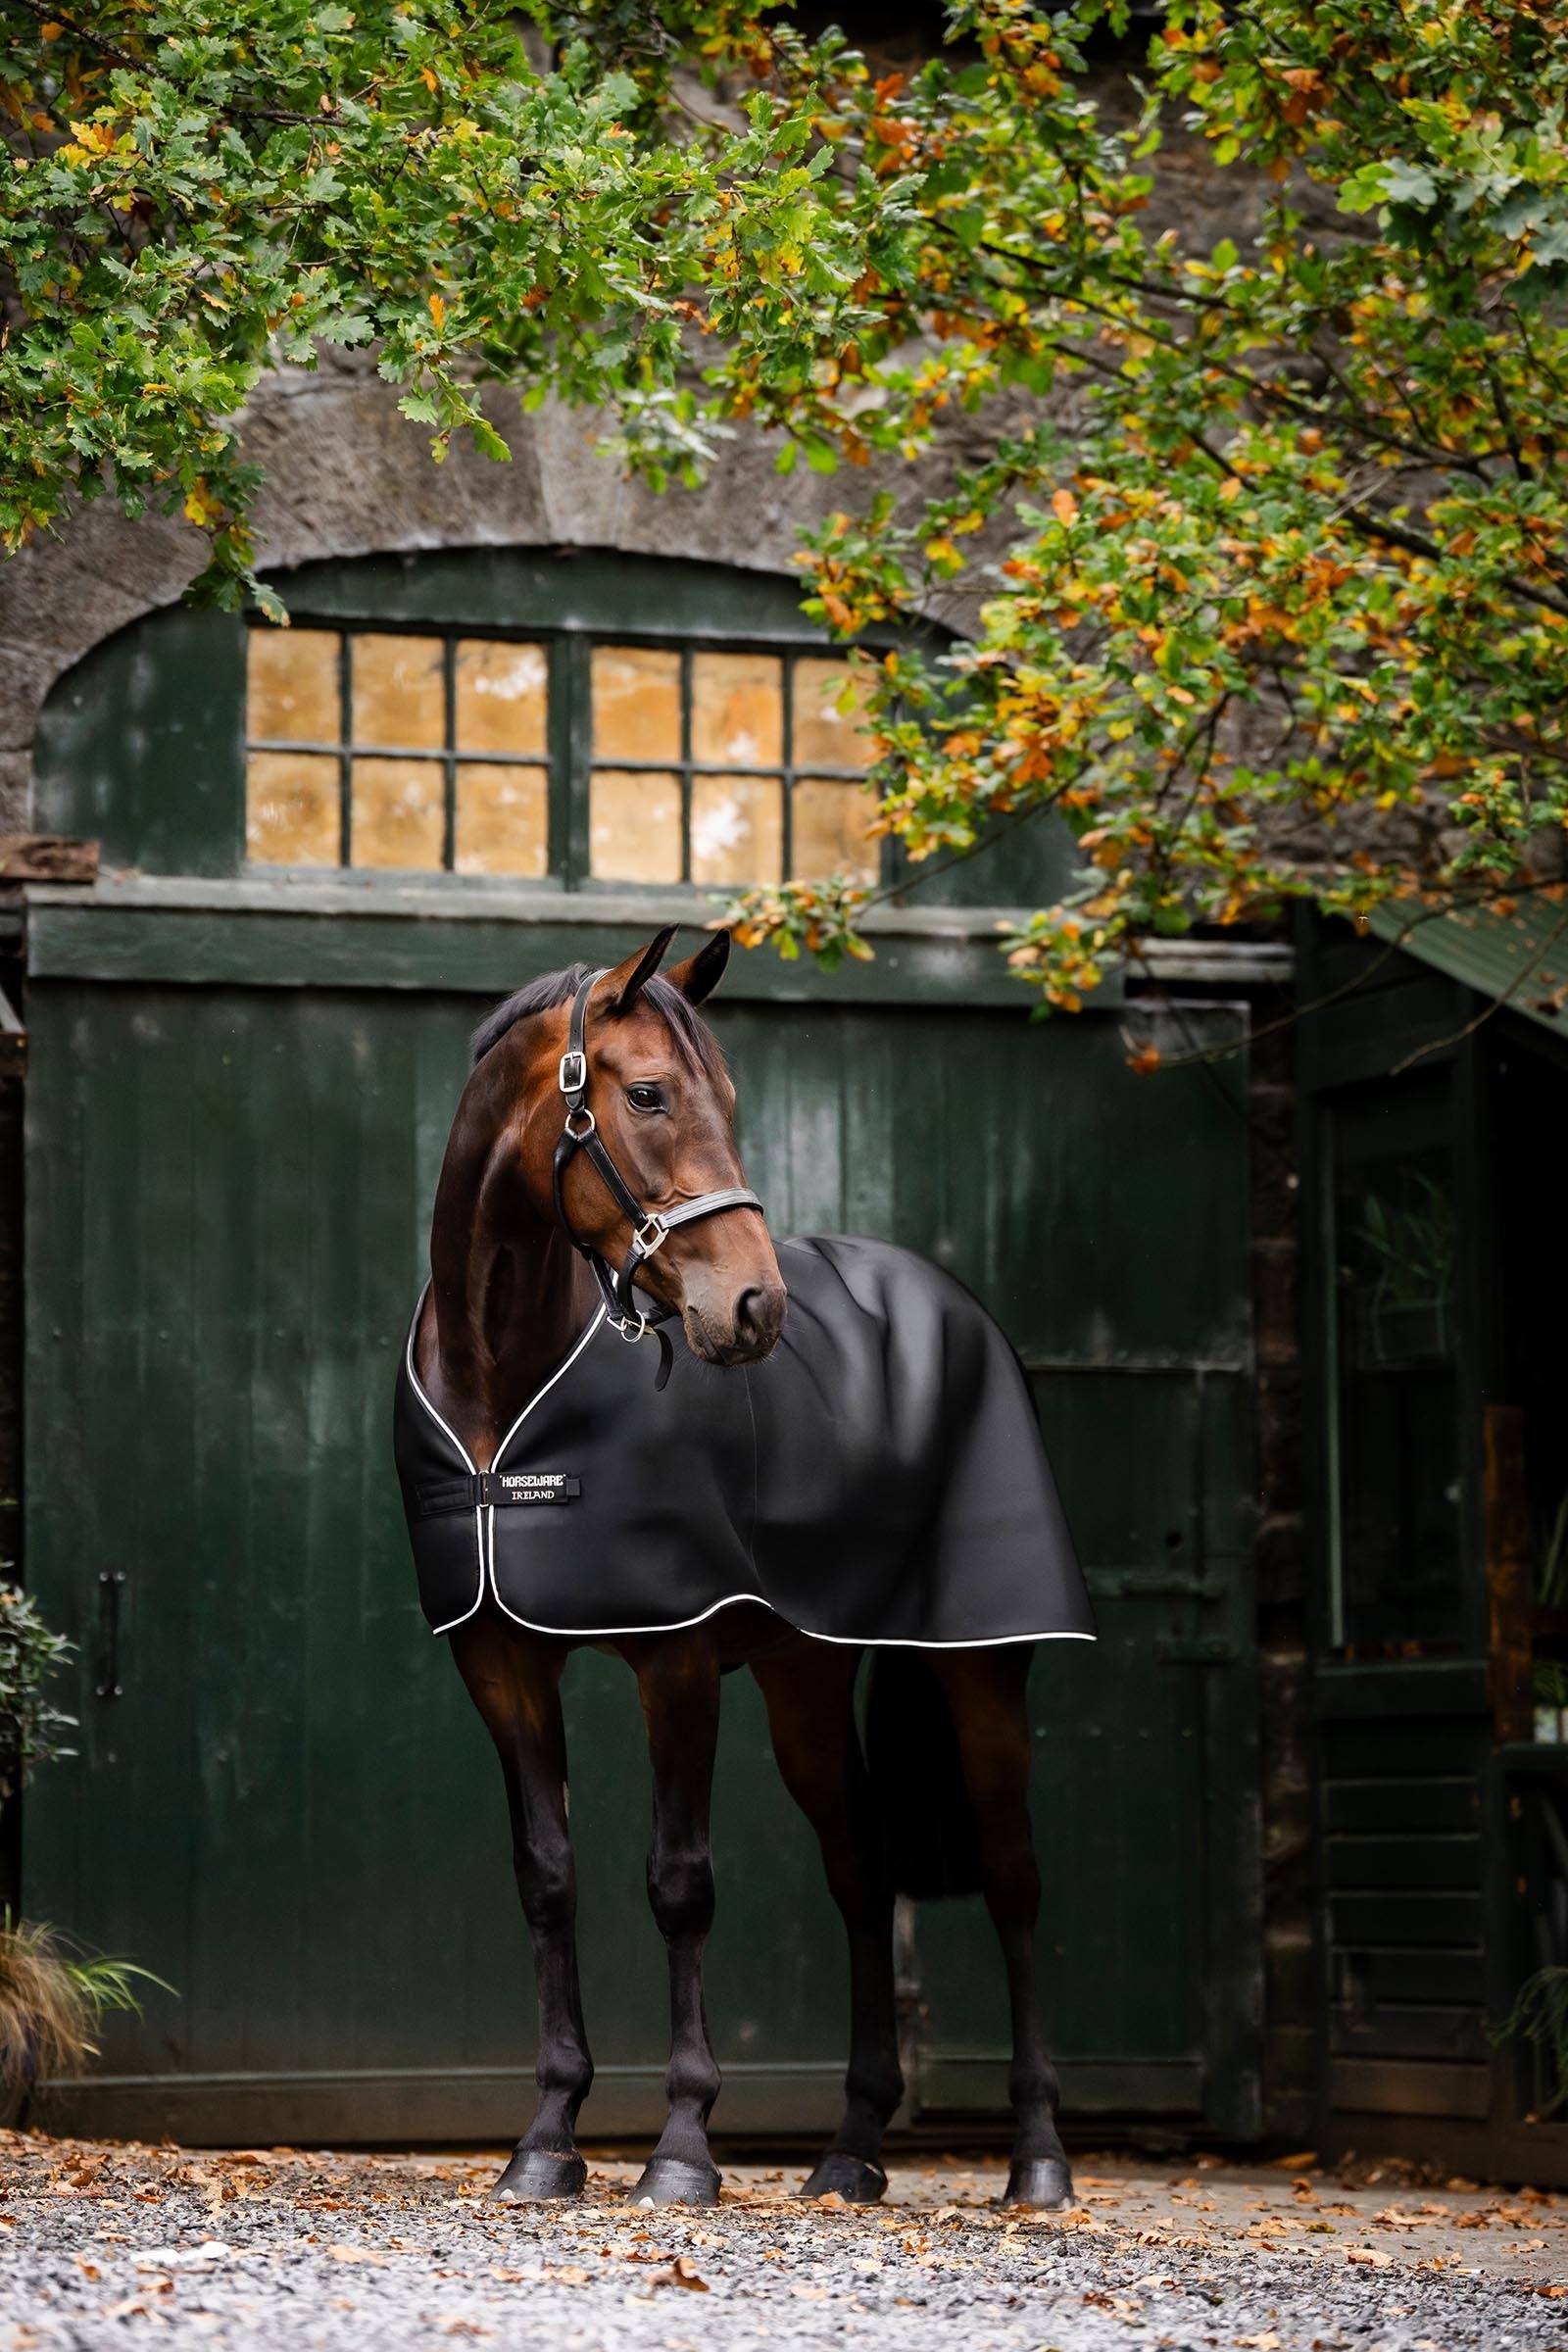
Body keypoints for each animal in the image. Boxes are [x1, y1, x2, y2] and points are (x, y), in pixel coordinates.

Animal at [397, 925, 1094, 2211]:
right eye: (648, 1094)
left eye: (724, 1094)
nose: (754, 1308)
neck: (500, 1376)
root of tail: (947, 1302)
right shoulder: (499, 1659)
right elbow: (546, 1875)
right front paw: (547, 2139)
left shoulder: (673, 1658)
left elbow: (679, 1883)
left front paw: (679, 2147)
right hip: (804, 1678)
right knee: (861, 1868)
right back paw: (851, 2150)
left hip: (982, 1670)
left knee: (1013, 1877)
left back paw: (1036, 2159)